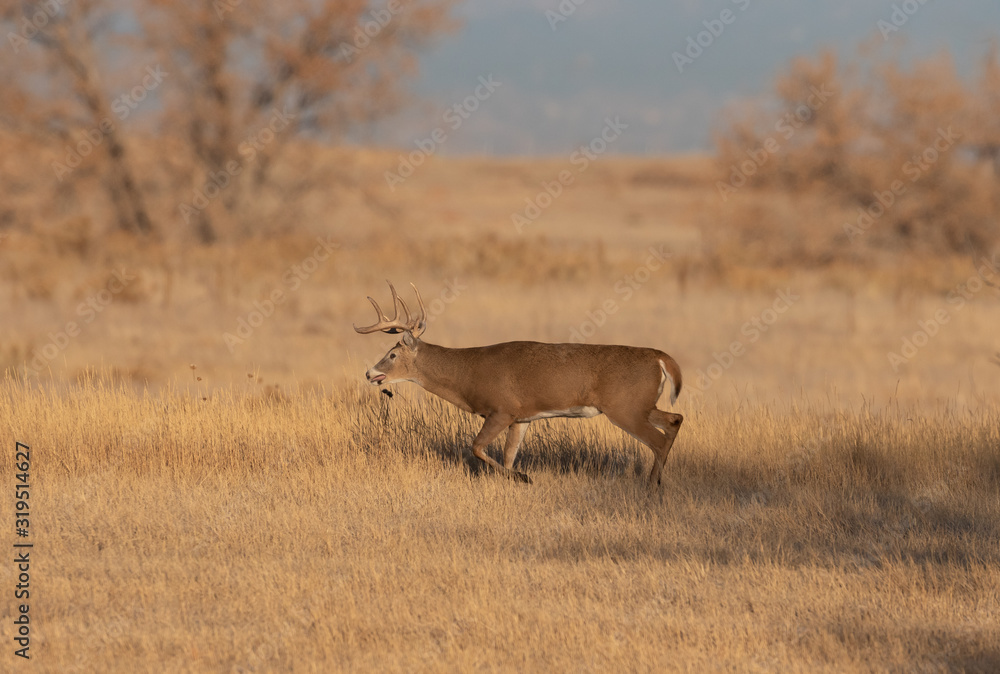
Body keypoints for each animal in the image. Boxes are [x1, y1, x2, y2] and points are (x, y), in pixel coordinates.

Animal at [355, 281, 684, 486]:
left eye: (392, 354)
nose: (370, 373)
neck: (466, 374)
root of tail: (660, 358)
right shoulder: (522, 417)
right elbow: (509, 456)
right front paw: (516, 478)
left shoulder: (502, 409)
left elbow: (476, 447)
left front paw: (524, 477)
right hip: (641, 404)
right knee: (675, 419)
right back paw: (657, 481)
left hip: (624, 407)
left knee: (658, 439)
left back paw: (652, 486)